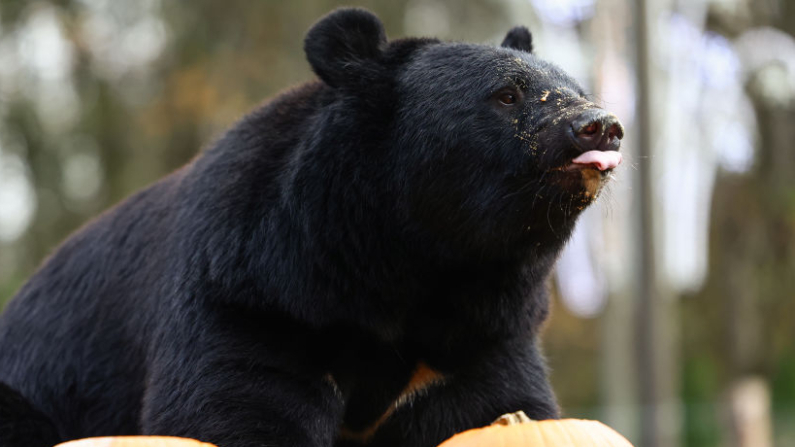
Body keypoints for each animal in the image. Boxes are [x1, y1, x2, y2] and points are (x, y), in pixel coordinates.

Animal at [0, 7, 620, 447]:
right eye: (507, 95)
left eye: (578, 89)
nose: (602, 126)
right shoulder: (253, 295)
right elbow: (236, 407)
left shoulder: (482, 334)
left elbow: (496, 404)